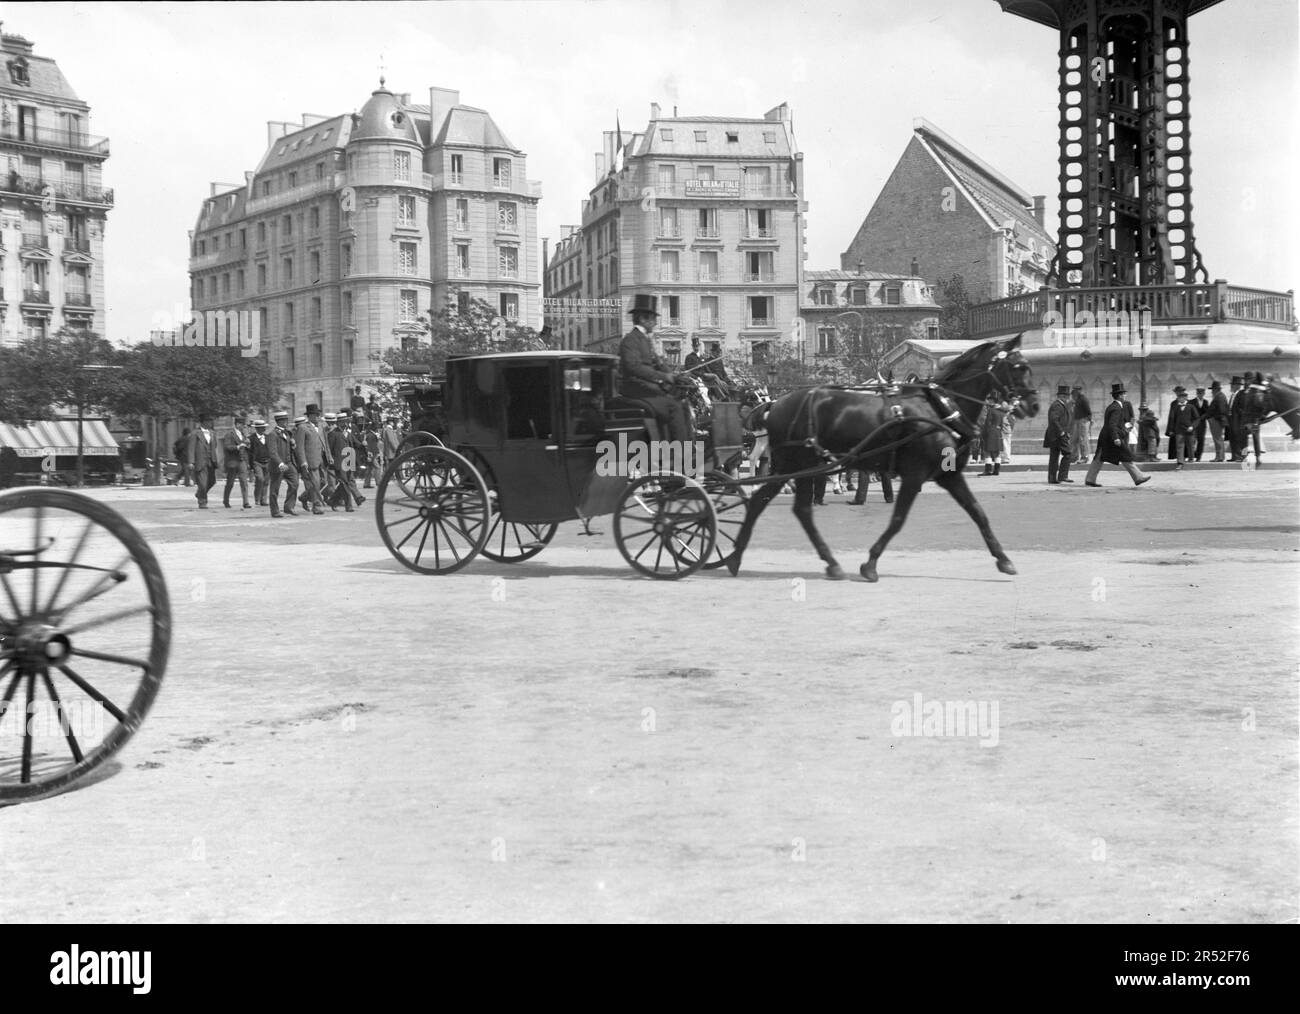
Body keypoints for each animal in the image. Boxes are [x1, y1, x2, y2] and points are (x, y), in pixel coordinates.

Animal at [728, 335, 1040, 582]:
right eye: (1017, 367)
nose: (1034, 405)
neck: (940, 409)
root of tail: (776, 403)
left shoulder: (948, 475)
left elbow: (978, 513)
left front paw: (1003, 559)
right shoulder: (914, 476)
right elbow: (898, 520)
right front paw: (870, 563)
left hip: (801, 465)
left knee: (787, 507)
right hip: (794, 463)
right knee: (770, 501)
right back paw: (737, 556)